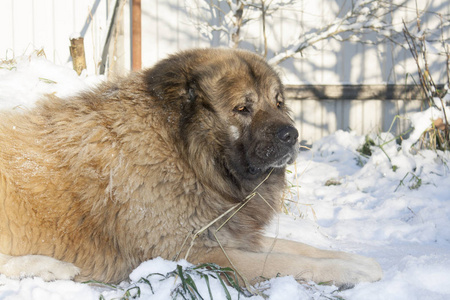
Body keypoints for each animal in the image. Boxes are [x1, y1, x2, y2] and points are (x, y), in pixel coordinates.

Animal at [0, 48, 382, 286]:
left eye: (278, 102)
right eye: (243, 108)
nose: (292, 134)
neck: (182, 154)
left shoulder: (226, 234)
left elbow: (299, 248)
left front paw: (357, 261)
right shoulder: (193, 254)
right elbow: (287, 262)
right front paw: (350, 272)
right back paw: (50, 267)